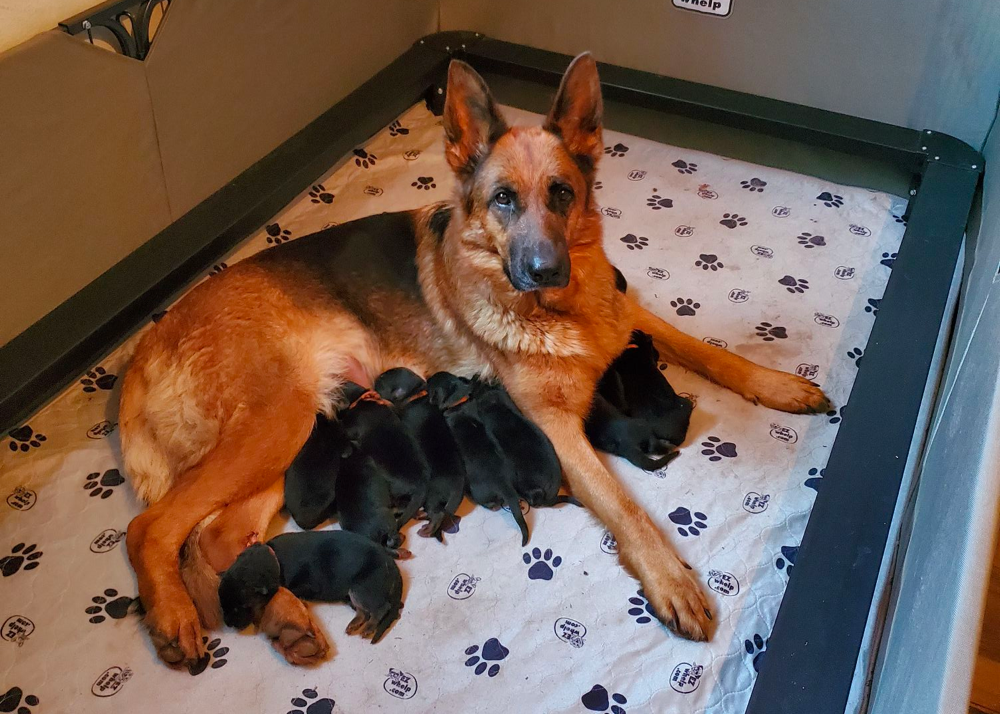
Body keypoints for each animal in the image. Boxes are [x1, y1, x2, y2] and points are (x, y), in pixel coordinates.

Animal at [221, 532, 404, 644]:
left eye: (241, 607)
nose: (228, 625)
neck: (274, 559)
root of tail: (391, 562)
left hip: (362, 589)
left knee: (381, 608)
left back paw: (369, 627)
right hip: (355, 593)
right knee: (363, 611)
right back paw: (354, 624)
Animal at [376, 370, 470, 544]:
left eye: (382, 379)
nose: (374, 380)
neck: (417, 395)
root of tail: (458, 485)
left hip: (432, 497)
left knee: (437, 514)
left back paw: (427, 528)